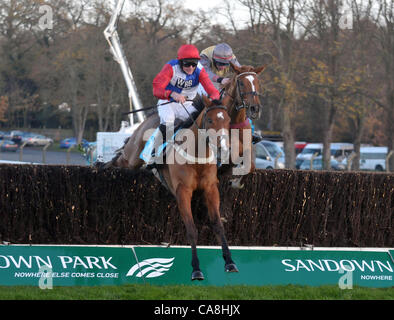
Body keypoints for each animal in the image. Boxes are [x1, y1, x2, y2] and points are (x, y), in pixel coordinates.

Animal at [105, 95, 237, 280]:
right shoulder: (182, 191)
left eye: (228, 120)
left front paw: (230, 262)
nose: (224, 149)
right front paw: (196, 269)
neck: (197, 155)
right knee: (119, 160)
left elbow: (218, 225)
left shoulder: (211, 189)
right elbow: (191, 229)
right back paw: (100, 166)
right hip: (132, 157)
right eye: (210, 120)